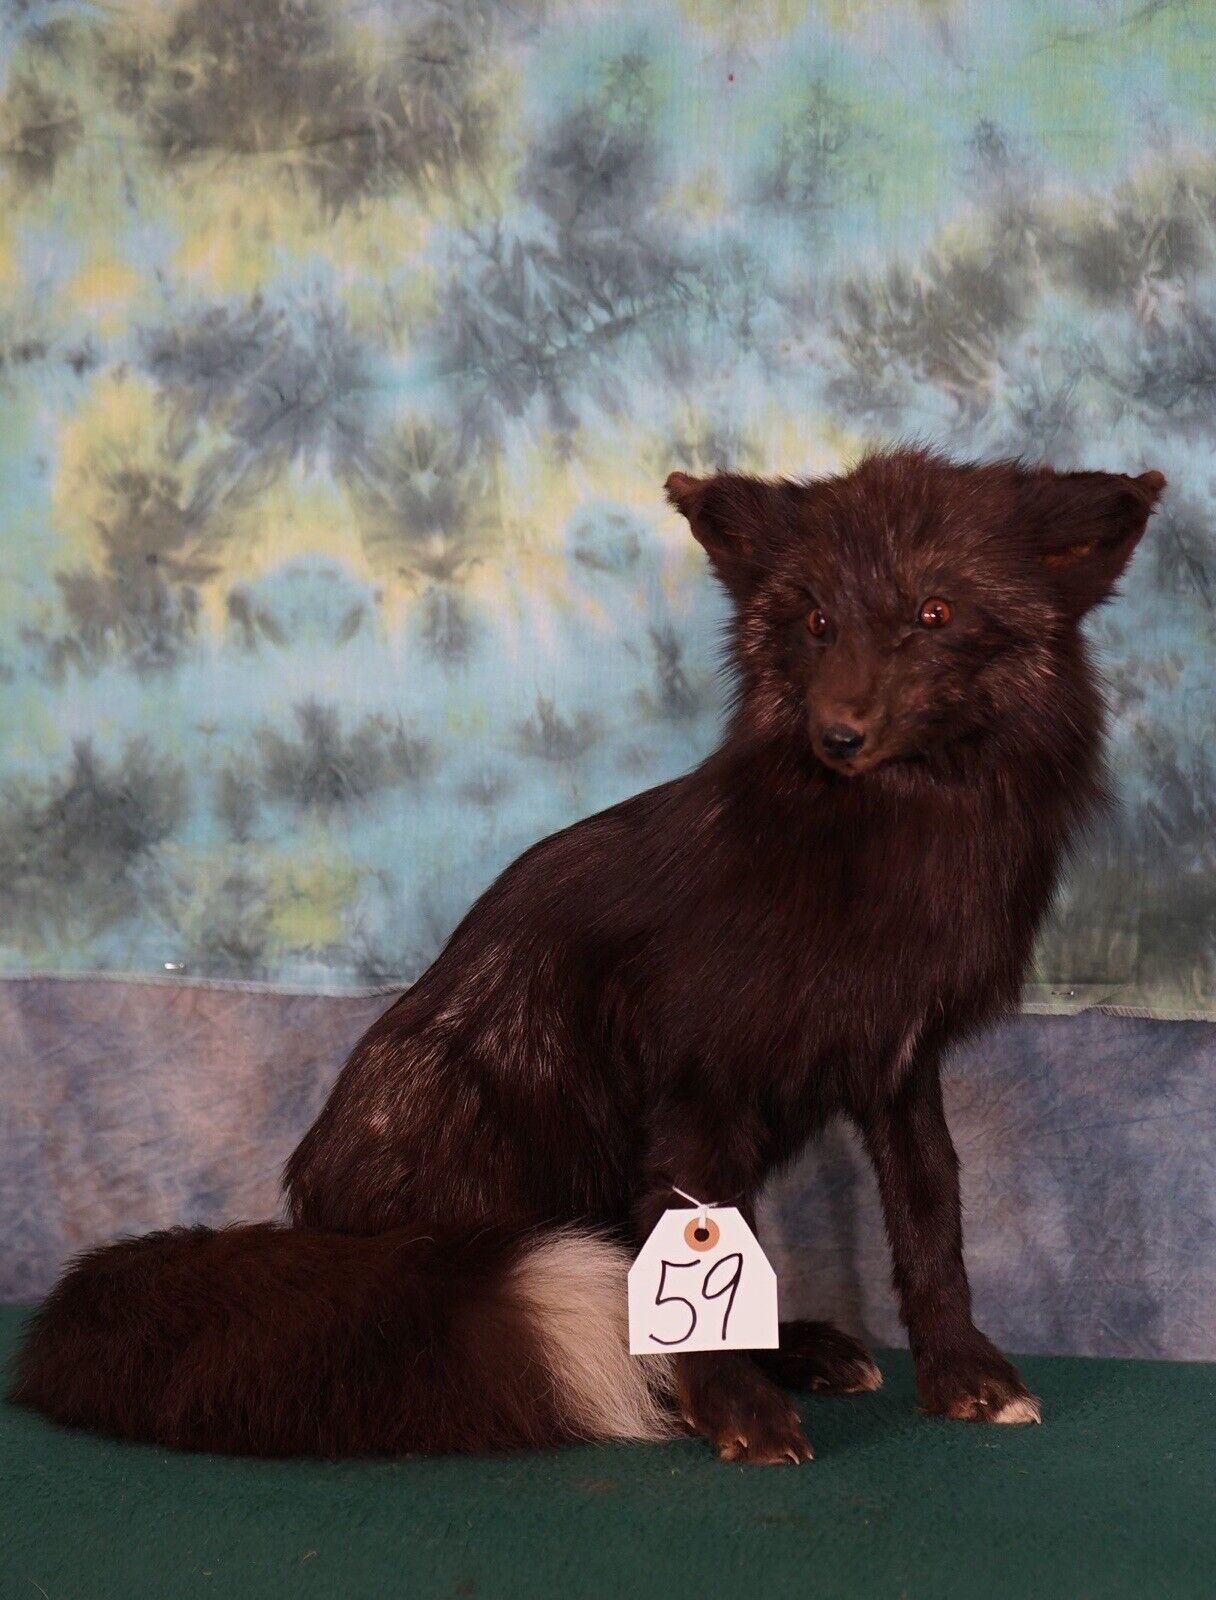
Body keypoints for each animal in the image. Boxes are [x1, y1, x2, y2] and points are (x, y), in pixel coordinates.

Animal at [12, 448, 1164, 1465]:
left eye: (933, 615)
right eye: (816, 622)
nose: (838, 734)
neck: (890, 851)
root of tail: (318, 1223)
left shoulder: (900, 1063)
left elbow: (933, 1226)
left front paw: (962, 1374)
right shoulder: (698, 1085)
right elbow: (707, 1272)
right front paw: (736, 1413)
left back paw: (802, 1350)